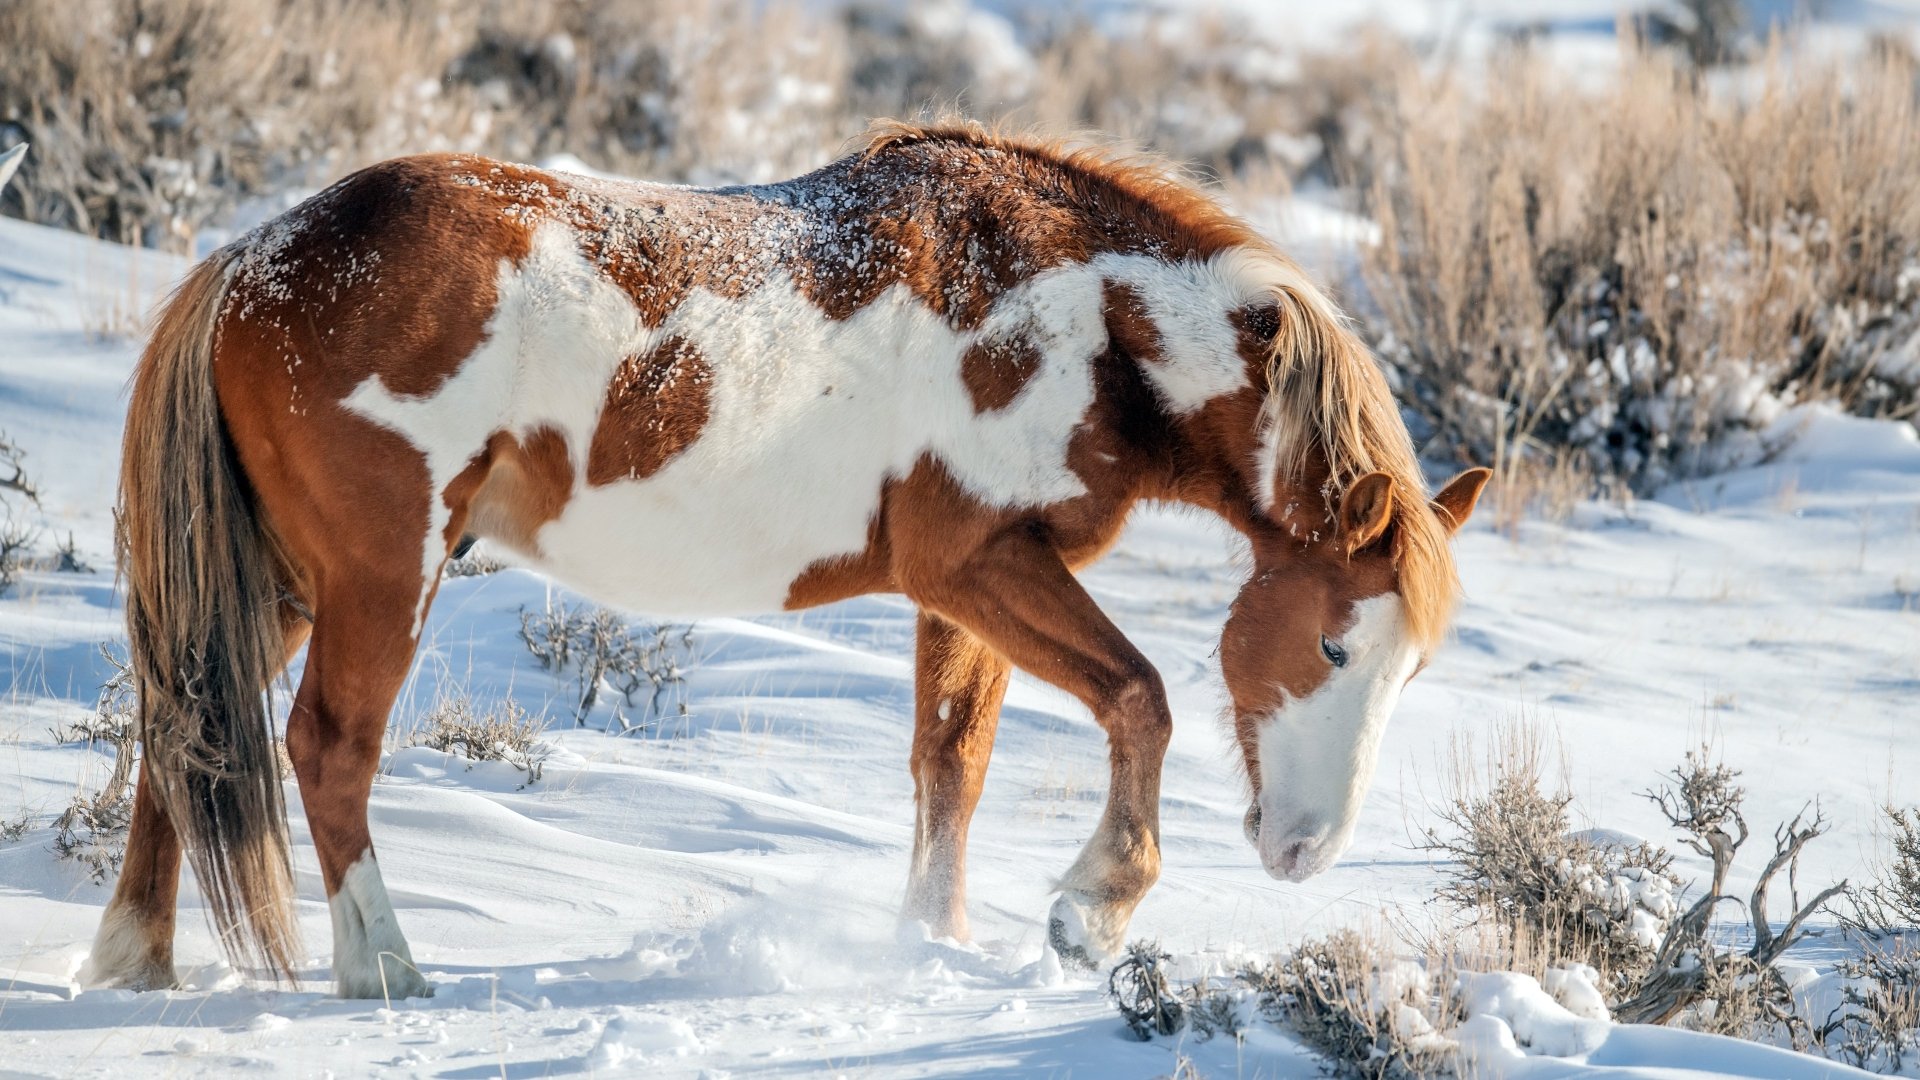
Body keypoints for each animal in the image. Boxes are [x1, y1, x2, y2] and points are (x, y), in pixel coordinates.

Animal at [86, 121, 1488, 999]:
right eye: (1334, 643)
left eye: (1414, 672)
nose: (1304, 850)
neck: (1090, 320)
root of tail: (252, 260)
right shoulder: (979, 564)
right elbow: (1138, 699)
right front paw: (1092, 911)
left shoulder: (960, 594)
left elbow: (950, 766)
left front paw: (934, 942)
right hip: (383, 575)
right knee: (326, 748)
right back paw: (383, 969)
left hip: (280, 579)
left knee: (186, 725)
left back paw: (132, 960)